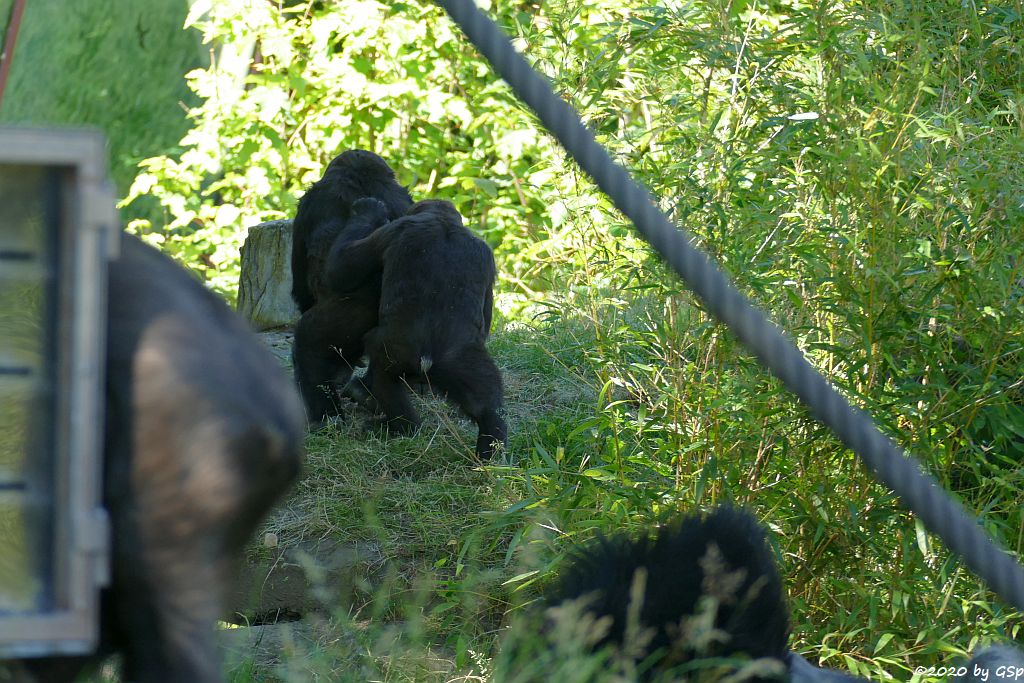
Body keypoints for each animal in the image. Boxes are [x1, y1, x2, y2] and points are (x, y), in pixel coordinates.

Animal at [325, 200, 505, 462]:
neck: (443, 221)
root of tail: (431, 360)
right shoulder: (487, 255)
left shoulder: (393, 231)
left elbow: (341, 269)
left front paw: (367, 211)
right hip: (466, 363)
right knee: (486, 405)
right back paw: (491, 452)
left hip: (399, 353)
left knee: (386, 377)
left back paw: (401, 426)